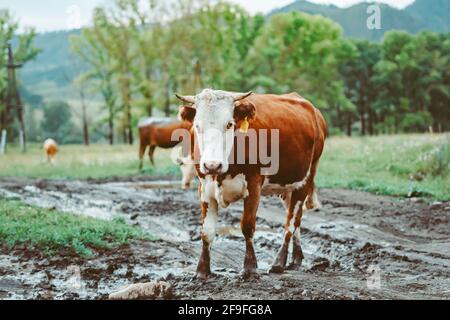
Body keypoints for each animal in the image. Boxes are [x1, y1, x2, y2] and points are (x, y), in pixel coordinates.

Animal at [176, 89, 326, 278]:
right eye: (197, 126)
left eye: (229, 124)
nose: (212, 165)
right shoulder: (205, 188)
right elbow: (207, 232)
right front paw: (202, 271)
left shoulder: (254, 185)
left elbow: (247, 226)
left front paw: (250, 268)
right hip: (288, 185)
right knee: (296, 219)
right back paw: (296, 258)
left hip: (305, 179)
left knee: (291, 222)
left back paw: (279, 262)